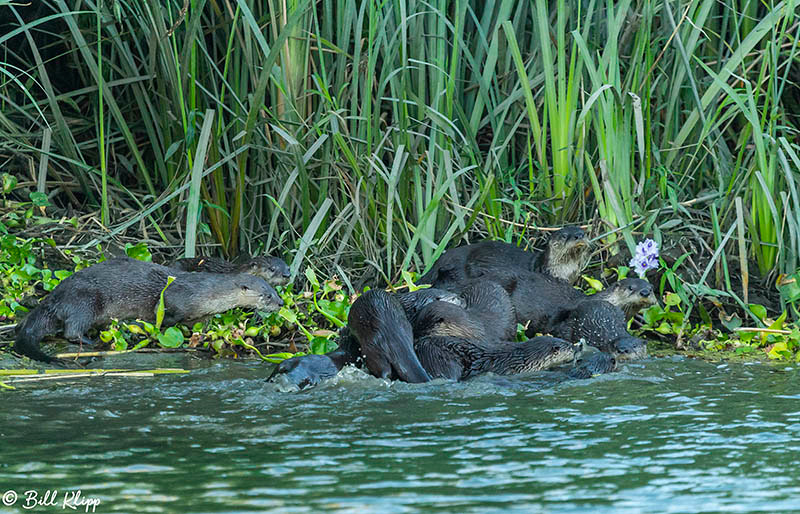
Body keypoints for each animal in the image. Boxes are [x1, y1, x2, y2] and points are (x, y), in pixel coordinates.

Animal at [13, 258, 284, 362]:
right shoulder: (176, 298)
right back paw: (90, 341)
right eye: (267, 295)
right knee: (71, 330)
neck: (207, 293)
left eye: (276, 291)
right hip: (85, 301)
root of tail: (53, 297)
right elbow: (163, 315)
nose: (281, 303)